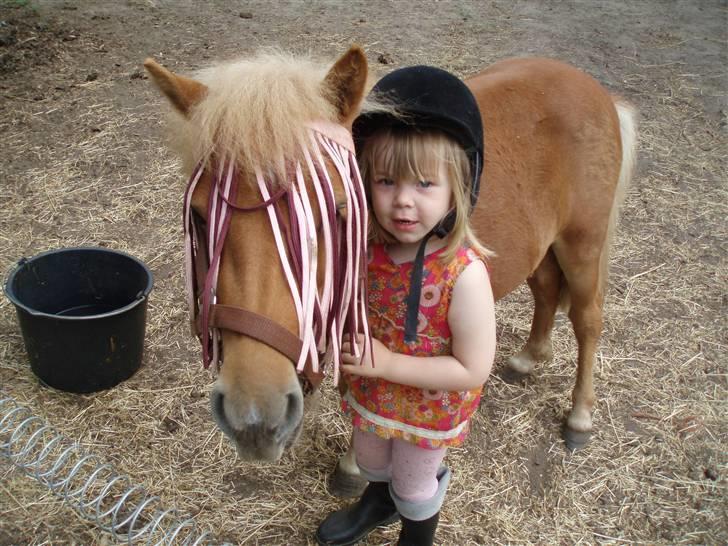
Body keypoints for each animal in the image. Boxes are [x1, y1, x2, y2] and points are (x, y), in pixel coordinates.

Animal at [144, 47, 637, 486]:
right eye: (200, 216)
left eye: (335, 211)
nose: (254, 419)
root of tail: (593, 89)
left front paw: (354, 466)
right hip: (544, 246)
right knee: (547, 290)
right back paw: (530, 357)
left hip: (582, 245)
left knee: (588, 320)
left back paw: (580, 415)